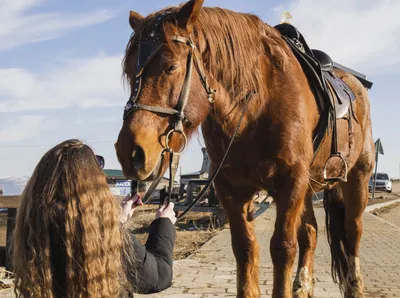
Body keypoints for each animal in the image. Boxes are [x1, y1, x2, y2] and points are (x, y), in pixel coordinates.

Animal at [115, 1, 376, 296]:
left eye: (170, 66)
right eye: (128, 72)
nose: (130, 152)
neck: (257, 104)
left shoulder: (290, 182)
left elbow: (283, 248)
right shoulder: (231, 189)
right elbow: (245, 248)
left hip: (356, 178)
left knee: (352, 232)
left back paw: (355, 287)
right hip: (308, 187)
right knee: (310, 231)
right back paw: (302, 286)